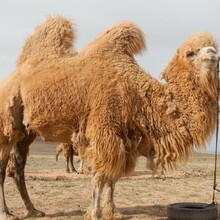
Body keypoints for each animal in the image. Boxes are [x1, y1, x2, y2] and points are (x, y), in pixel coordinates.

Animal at [0, 15, 218, 220]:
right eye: (190, 52)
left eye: (214, 46)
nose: (213, 53)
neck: (135, 93)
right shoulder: (104, 130)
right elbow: (100, 176)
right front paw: (94, 213)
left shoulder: (125, 137)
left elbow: (113, 177)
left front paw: (112, 211)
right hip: (6, 124)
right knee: (3, 169)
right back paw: (7, 213)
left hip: (25, 132)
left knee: (18, 168)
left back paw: (32, 210)